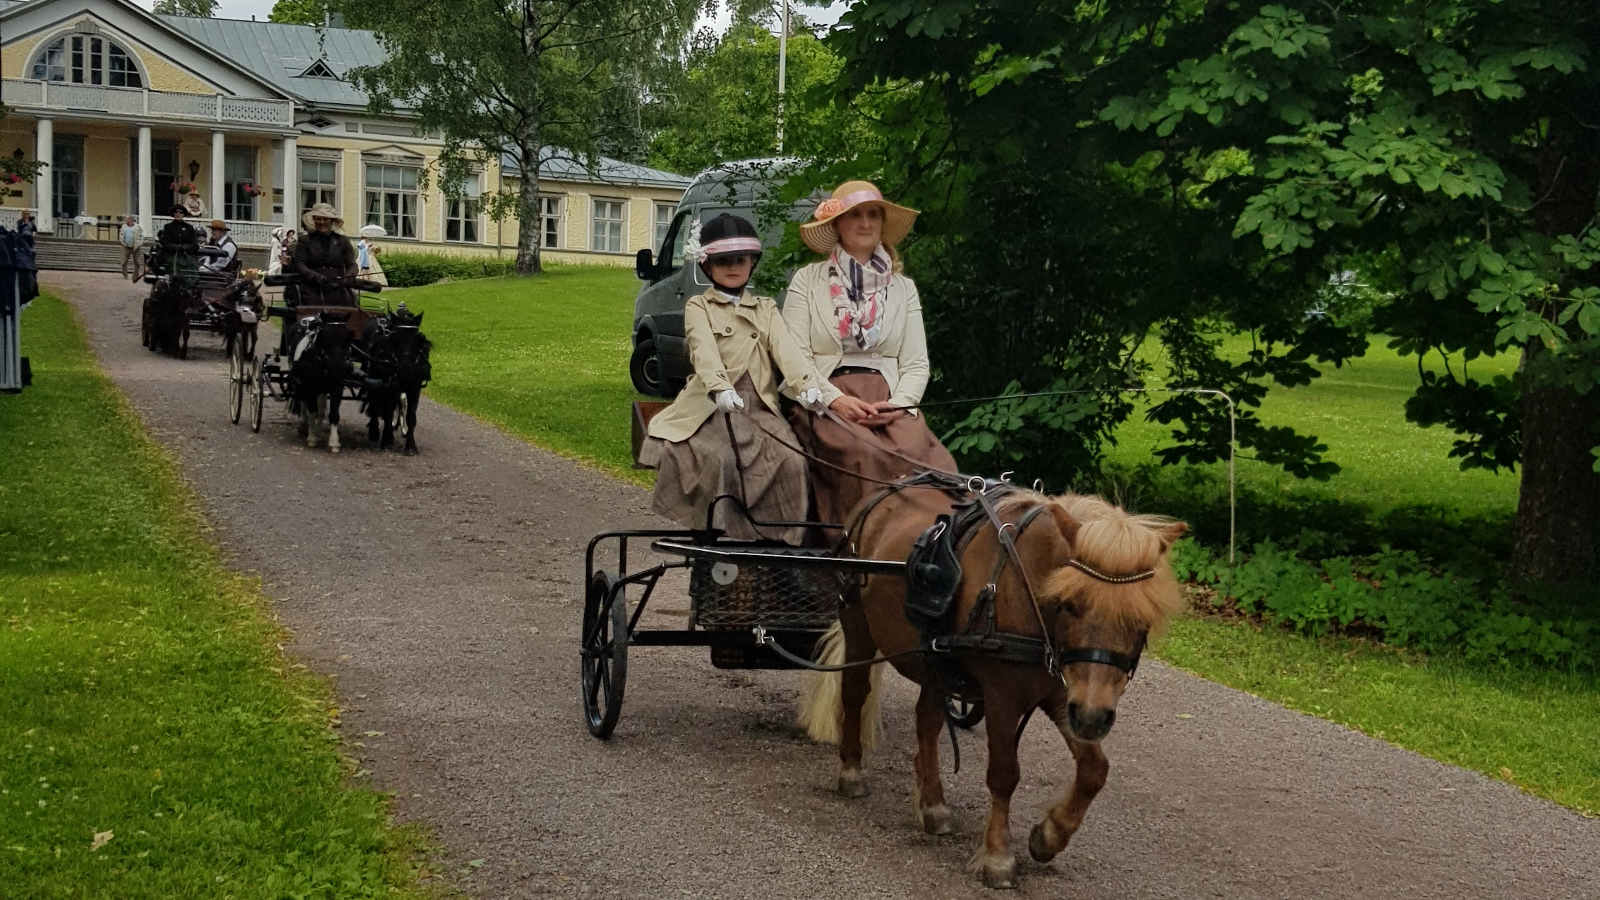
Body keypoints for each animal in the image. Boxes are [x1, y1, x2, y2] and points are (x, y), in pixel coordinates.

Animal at [284, 312, 356, 451]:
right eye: (324, 335)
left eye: (347, 337)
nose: (337, 368)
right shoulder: (309, 386)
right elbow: (312, 411)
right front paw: (312, 438)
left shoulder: (336, 386)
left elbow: (333, 414)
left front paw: (334, 442)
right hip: (300, 384)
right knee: (303, 402)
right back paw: (304, 426)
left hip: (322, 388)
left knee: (321, 405)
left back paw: (319, 430)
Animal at [800, 480, 1190, 883]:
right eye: (1070, 604)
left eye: (1142, 619)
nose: (1094, 718)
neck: (1026, 586)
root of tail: (885, 492)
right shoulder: (1004, 696)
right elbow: (1004, 774)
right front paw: (998, 856)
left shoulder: (1064, 694)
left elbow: (1094, 771)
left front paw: (1050, 835)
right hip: (857, 623)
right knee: (854, 693)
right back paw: (851, 771)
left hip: (934, 660)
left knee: (928, 721)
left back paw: (933, 805)